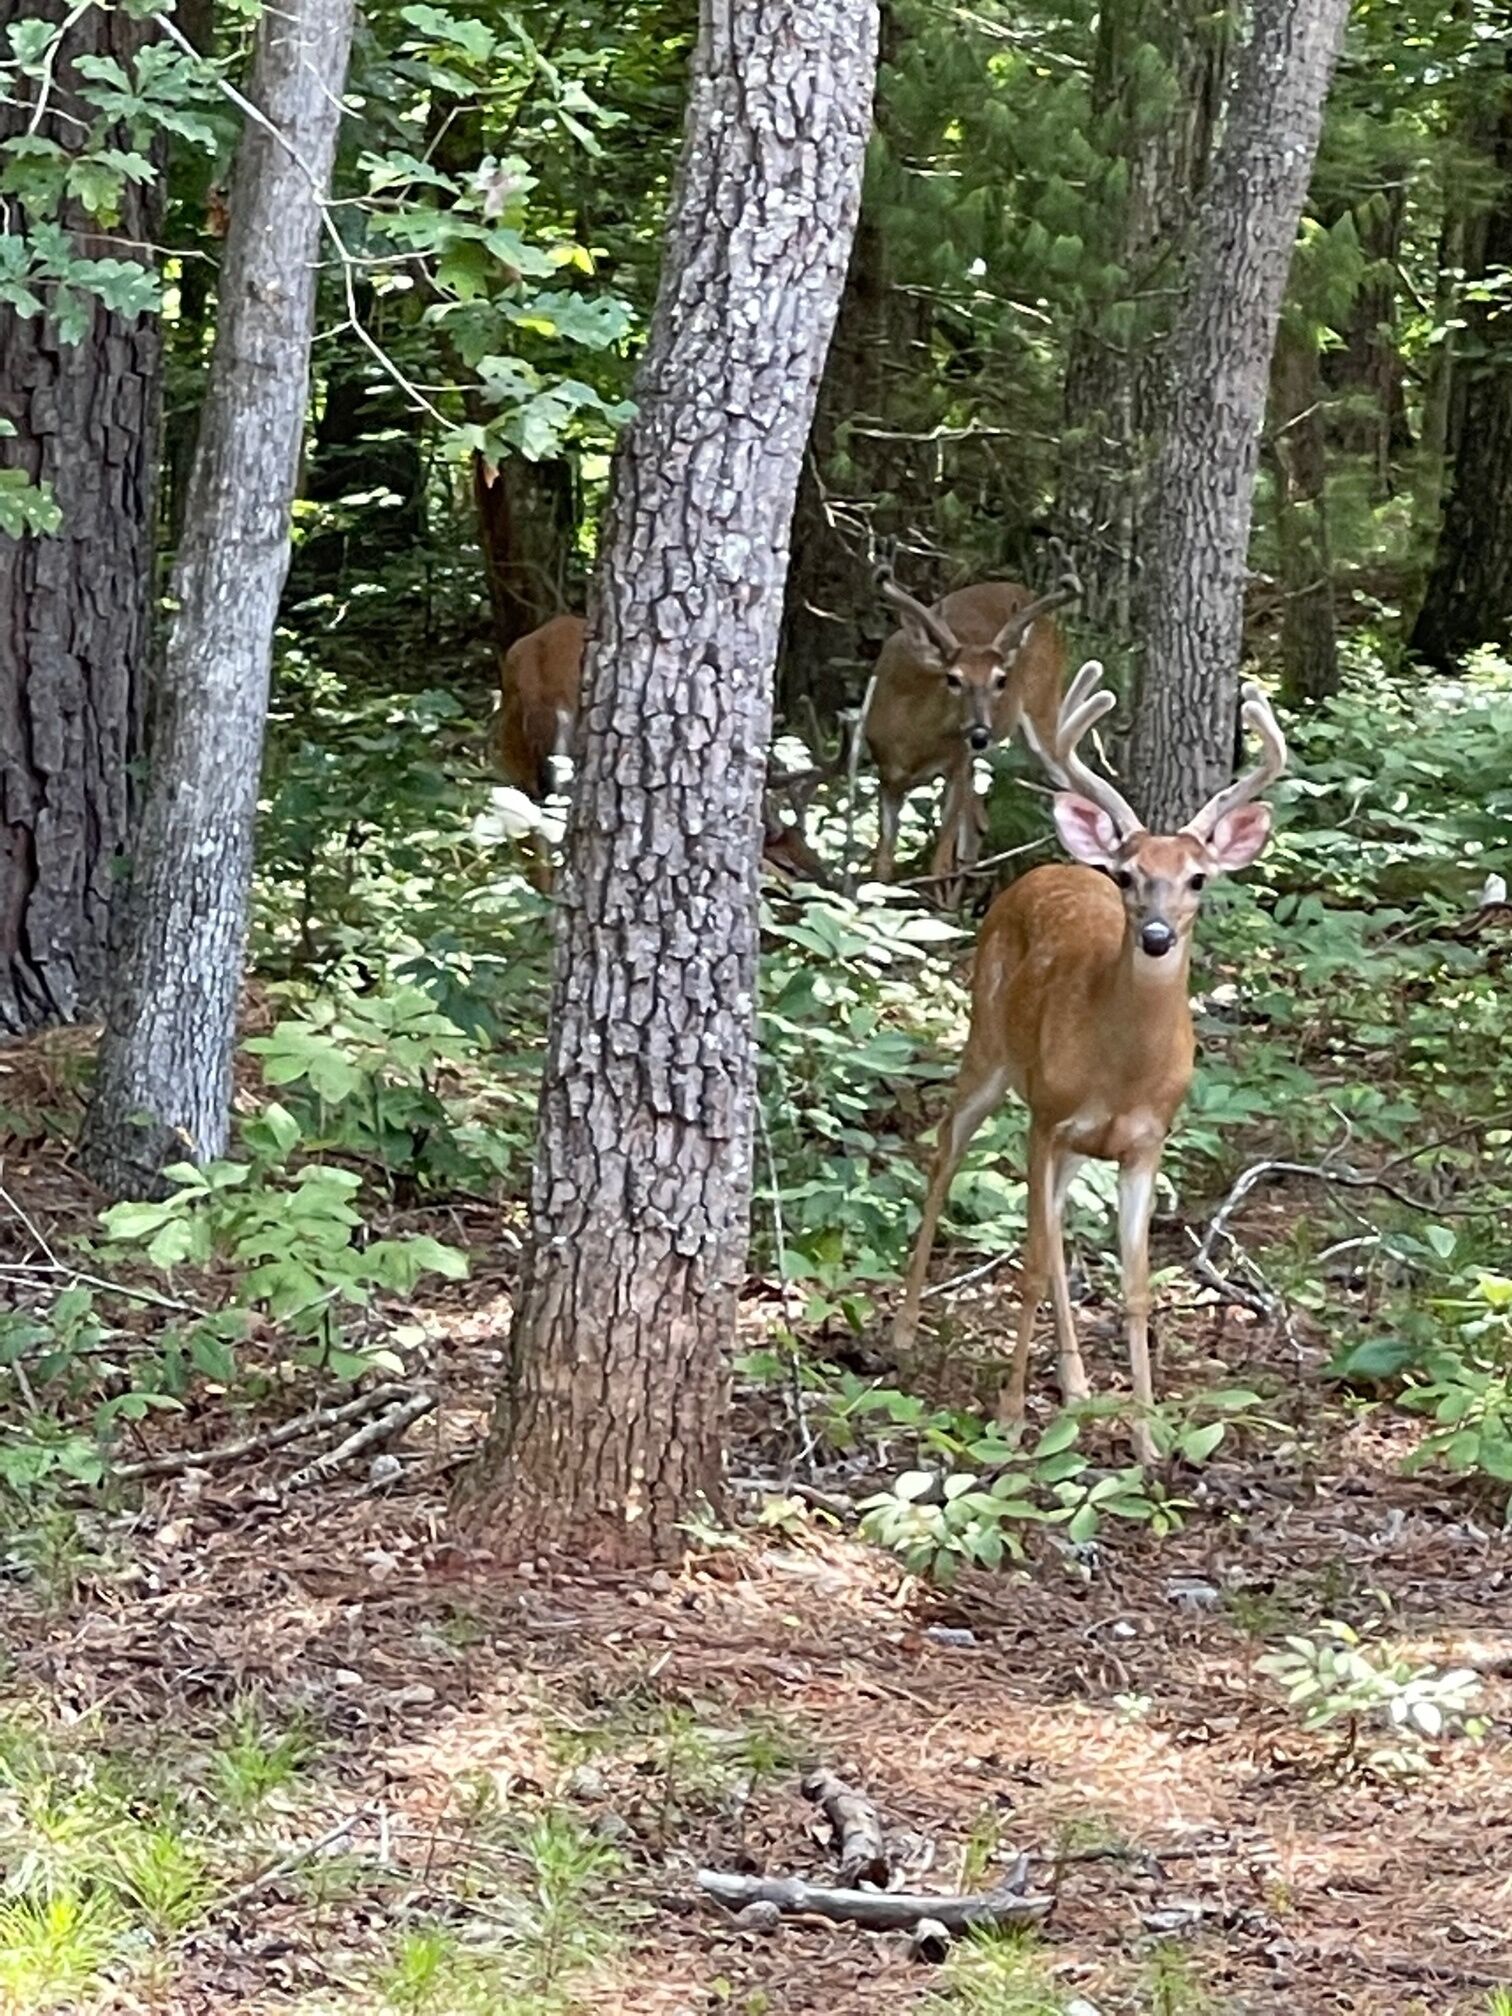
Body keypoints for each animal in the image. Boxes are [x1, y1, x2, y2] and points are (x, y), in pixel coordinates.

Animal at [863, 543, 1083, 889]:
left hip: (1044, 709)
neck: (914, 742)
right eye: (953, 678)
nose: (980, 734)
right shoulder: (887, 773)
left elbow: (939, 864)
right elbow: (883, 864)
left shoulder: (957, 762)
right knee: (979, 824)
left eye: (1001, 680)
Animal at [889, 661, 1287, 1463]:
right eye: (1130, 875)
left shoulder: (1144, 1142)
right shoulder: (1046, 1116)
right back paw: (906, 1330)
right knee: (946, 1160)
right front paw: (1011, 1415)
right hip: (989, 1052)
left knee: (1057, 1220)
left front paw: (1146, 1437)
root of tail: (1046, 870)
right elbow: (1034, 1264)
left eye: (1198, 877)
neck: (1121, 1069)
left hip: (1068, 1139)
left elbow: (1133, 1285)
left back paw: (1075, 1386)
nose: (1159, 935)